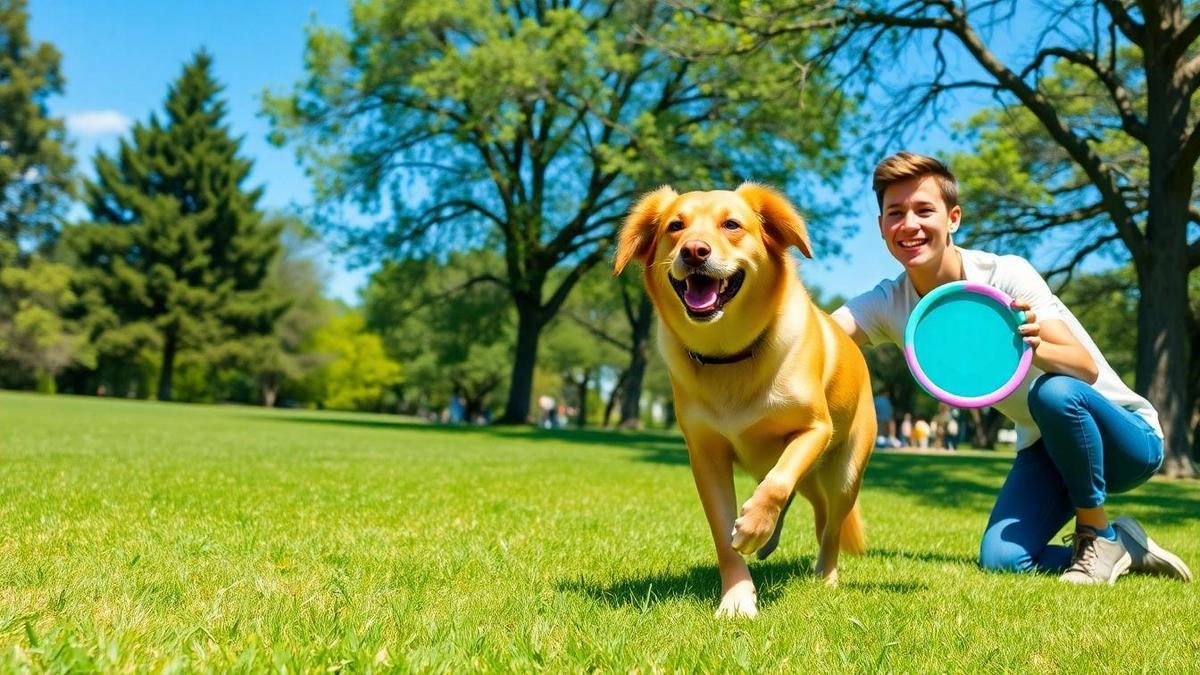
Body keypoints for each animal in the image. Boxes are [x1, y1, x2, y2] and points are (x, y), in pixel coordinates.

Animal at [614, 182, 878, 614]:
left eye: (732, 225)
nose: (694, 250)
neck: (729, 355)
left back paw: (825, 573)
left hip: (845, 472)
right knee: (815, 505)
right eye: (675, 226)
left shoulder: (813, 430)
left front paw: (754, 525)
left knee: (831, 523)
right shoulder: (706, 457)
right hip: (810, 476)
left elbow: (778, 483)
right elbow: (724, 533)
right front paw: (738, 596)